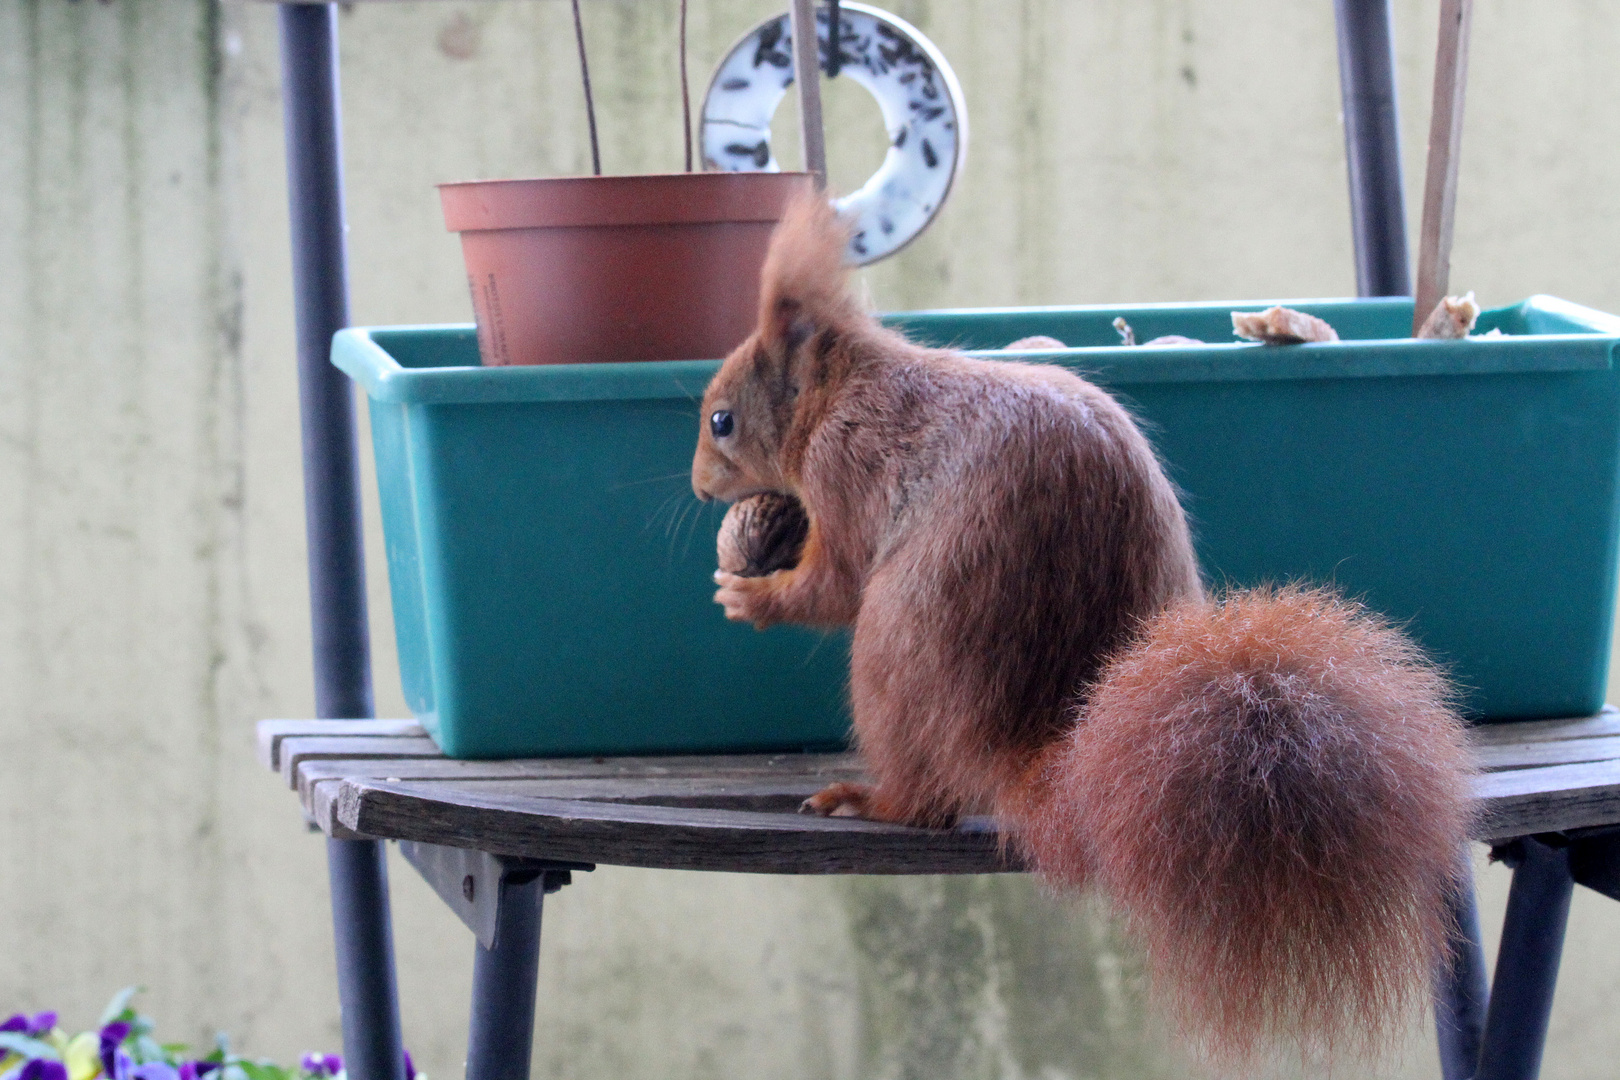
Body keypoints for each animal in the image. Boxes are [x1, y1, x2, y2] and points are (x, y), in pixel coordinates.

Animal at [690, 196, 1477, 1062]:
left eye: (722, 420)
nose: (697, 487)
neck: (848, 389)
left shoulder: (848, 469)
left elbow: (832, 586)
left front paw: (750, 595)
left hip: (891, 657)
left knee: (924, 802)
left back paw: (867, 799)